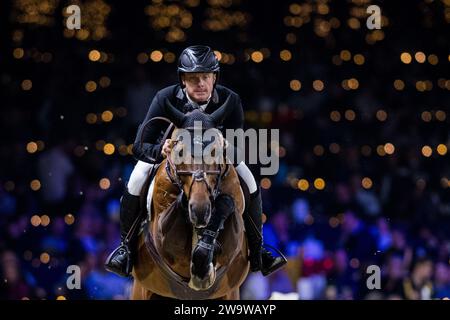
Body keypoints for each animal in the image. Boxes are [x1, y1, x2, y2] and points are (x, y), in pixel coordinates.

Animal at [129, 117, 250, 300]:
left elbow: (226, 204)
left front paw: (204, 260)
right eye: (179, 153)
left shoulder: (233, 244)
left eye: (215, 152)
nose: (200, 211)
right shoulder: (165, 242)